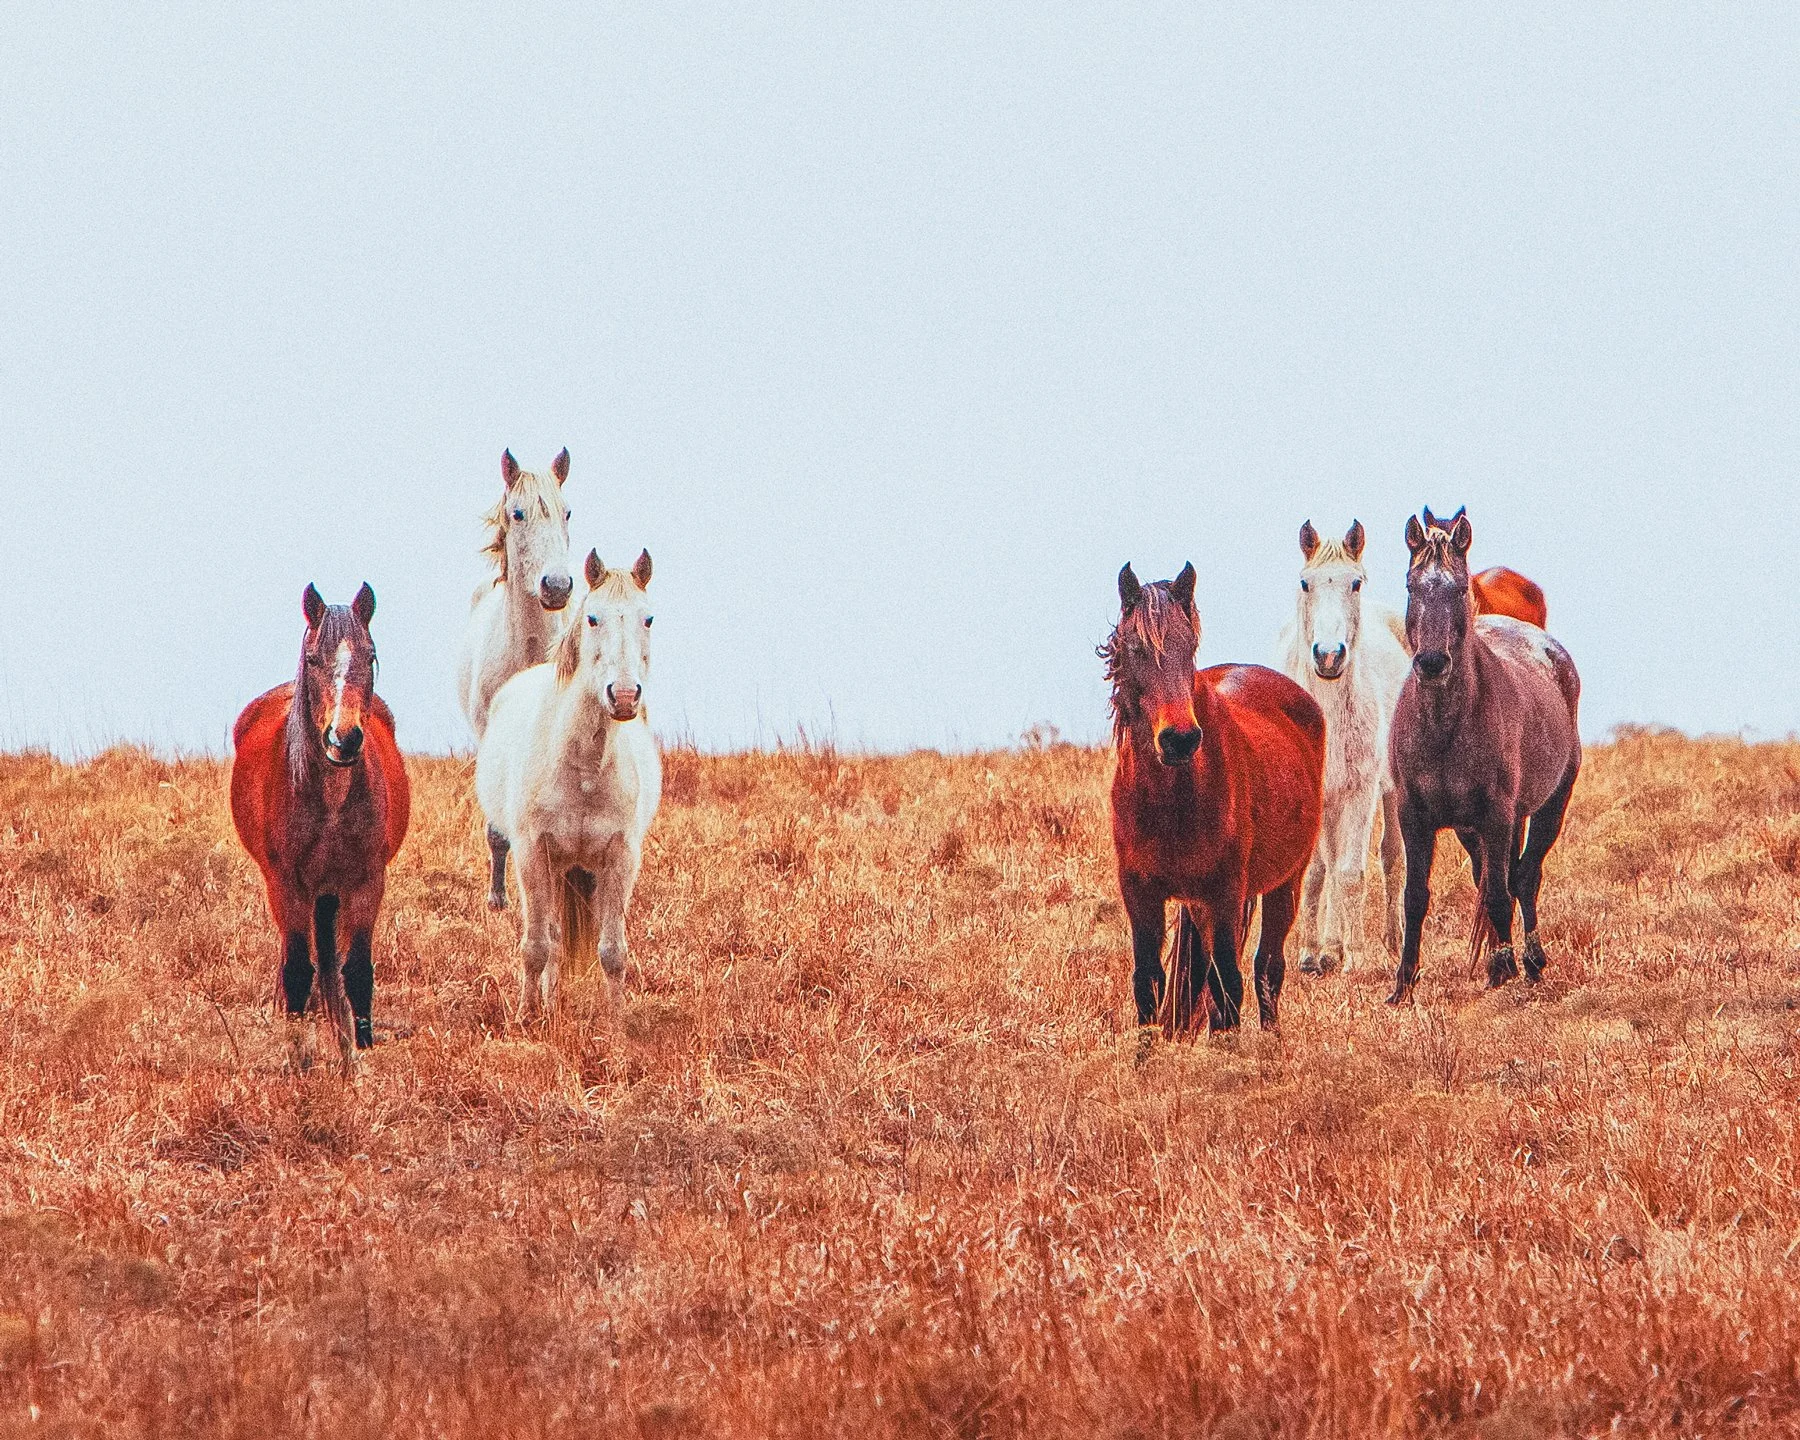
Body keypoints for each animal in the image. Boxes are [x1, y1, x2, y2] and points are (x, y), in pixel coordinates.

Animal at [231, 583, 411, 1074]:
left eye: (370, 655)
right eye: (313, 658)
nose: (343, 738)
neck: (330, 796)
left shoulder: (367, 882)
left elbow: (358, 971)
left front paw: (359, 1053)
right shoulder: (286, 884)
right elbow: (296, 970)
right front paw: (297, 1054)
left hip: (330, 893)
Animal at [476, 549, 661, 1022]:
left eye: (648, 618)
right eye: (592, 618)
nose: (625, 696)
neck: (583, 769)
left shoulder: (620, 858)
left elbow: (612, 951)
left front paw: (617, 1024)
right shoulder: (531, 854)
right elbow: (536, 946)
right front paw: (526, 1017)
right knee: (553, 939)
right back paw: (549, 1001)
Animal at [1103, 562, 1325, 1034]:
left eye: (1189, 646)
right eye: (1135, 648)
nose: (1180, 739)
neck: (1171, 801)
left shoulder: (1225, 894)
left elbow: (1228, 984)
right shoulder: (1140, 894)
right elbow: (1148, 982)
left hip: (1285, 883)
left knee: (1267, 969)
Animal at [1277, 519, 1409, 977]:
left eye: (1356, 583)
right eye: (1304, 583)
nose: (1329, 656)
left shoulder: (1360, 791)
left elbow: (1351, 872)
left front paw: (1354, 957)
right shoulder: (1315, 793)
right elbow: (1319, 870)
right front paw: (1310, 953)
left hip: (1389, 792)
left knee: (1392, 859)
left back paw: (1391, 941)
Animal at [1386, 510, 1581, 1003]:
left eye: (1458, 588)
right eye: (1411, 586)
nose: (1432, 663)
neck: (1444, 726)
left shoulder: (1497, 815)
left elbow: (1499, 891)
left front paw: (1503, 966)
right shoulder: (1414, 816)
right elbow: (1416, 896)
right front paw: (1403, 984)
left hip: (1549, 806)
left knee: (1524, 878)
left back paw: (1530, 961)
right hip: (1471, 829)